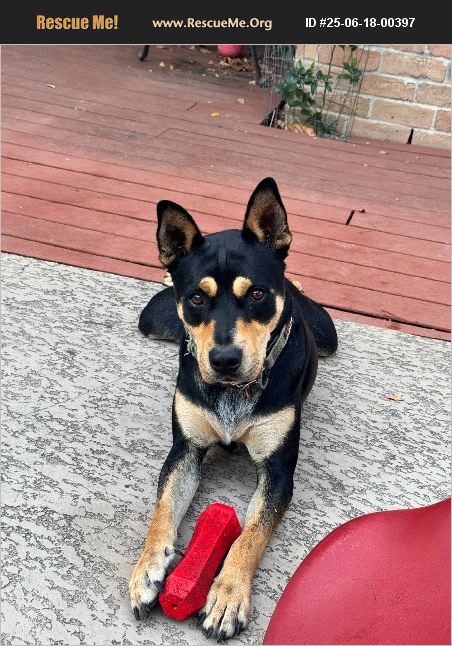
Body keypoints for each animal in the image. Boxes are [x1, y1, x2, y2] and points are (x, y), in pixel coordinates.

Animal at [129, 177, 338, 639]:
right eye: (195, 299)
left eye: (257, 293)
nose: (224, 360)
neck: (234, 392)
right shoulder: (184, 452)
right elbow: (162, 509)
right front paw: (147, 567)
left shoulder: (277, 472)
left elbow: (250, 535)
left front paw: (227, 595)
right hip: (150, 318)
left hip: (328, 333)